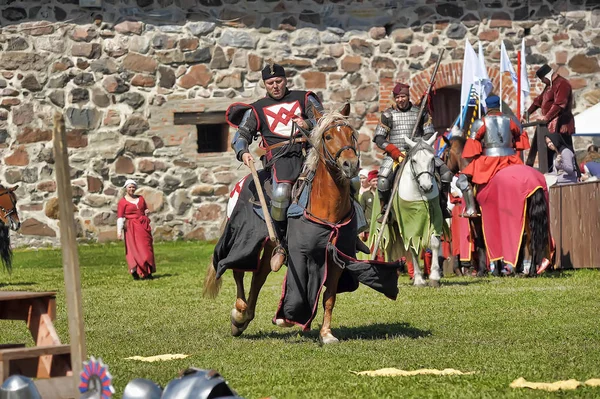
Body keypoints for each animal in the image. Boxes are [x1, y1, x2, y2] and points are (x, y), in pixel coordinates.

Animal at [204, 105, 400, 344]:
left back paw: (245, 316)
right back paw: (239, 314)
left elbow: (329, 297)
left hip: (269, 246)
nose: (350, 165)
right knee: (237, 268)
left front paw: (326, 334)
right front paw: (285, 318)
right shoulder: (303, 256)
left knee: (258, 276)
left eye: (351, 134)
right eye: (328, 136)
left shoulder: (336, 257)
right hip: (243, 236)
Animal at [396, 134, 442, 288]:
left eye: (432, 159)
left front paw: (434, 277)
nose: (427, 186)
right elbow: (412, 248)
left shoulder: (435, 217)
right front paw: (419, 279)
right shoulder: (408, 224)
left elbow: (434, 243)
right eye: (414, 160)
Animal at [440, 136, 552, 276]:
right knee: (531, 240)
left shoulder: (479, 219)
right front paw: (499, 270)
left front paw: (483, 270)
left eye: (445, 154)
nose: (444, 176)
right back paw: (530, 271)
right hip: (529, 216)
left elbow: (482, 242)